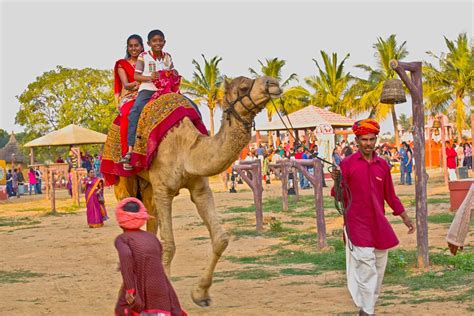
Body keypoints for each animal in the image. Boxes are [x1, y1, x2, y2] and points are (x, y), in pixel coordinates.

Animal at [112, 76, 280, 306]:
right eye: (244, 86)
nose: (273, 82)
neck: (187, 150)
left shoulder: (199, 188)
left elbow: (221, 239)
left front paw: (201, 294)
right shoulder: (164, 190)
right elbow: (169, 245)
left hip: (147, 186)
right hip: (124, 180)